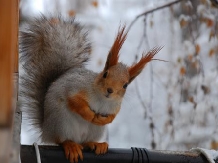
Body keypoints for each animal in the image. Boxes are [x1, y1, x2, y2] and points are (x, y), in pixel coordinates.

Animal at [19, 15, 162, 163]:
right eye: (105, 74)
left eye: (125, 85)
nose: (110, 90)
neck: (103, 99)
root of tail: (46, 130)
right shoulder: (75, 87)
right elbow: (74, 101)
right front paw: (90, 115)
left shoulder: (116, 106)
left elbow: (113, 116)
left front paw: (104, 119)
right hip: (60, 122)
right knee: (61, 140)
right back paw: (70, 145)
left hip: (95, 131)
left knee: (85, 141)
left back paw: (95, 144)